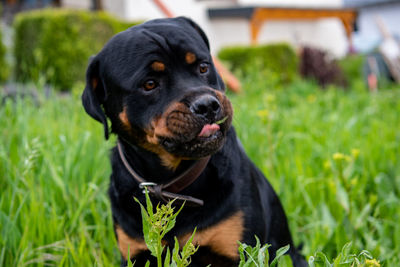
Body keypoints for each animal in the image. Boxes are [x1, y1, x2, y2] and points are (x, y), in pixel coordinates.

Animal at [81, 16, 306, 267]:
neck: (172, 184)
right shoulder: (136, 253)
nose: (207, 105)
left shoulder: (241, 250)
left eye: (203, 67)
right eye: (149, 84)